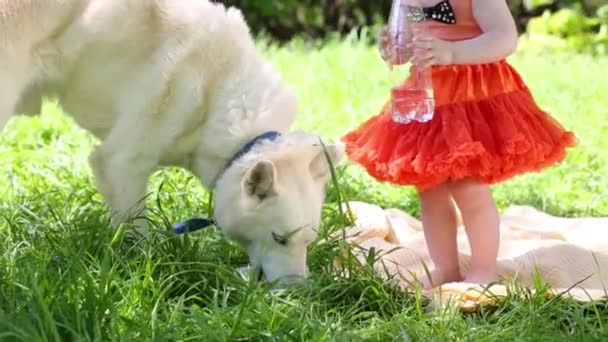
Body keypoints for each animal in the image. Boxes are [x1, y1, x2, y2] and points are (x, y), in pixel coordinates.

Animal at [0, 0, 342, 284]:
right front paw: (141, 270)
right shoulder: (120, 164)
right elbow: (138, 233)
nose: (298, 292)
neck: (217, 93)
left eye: (308, 241)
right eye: (279, 238)